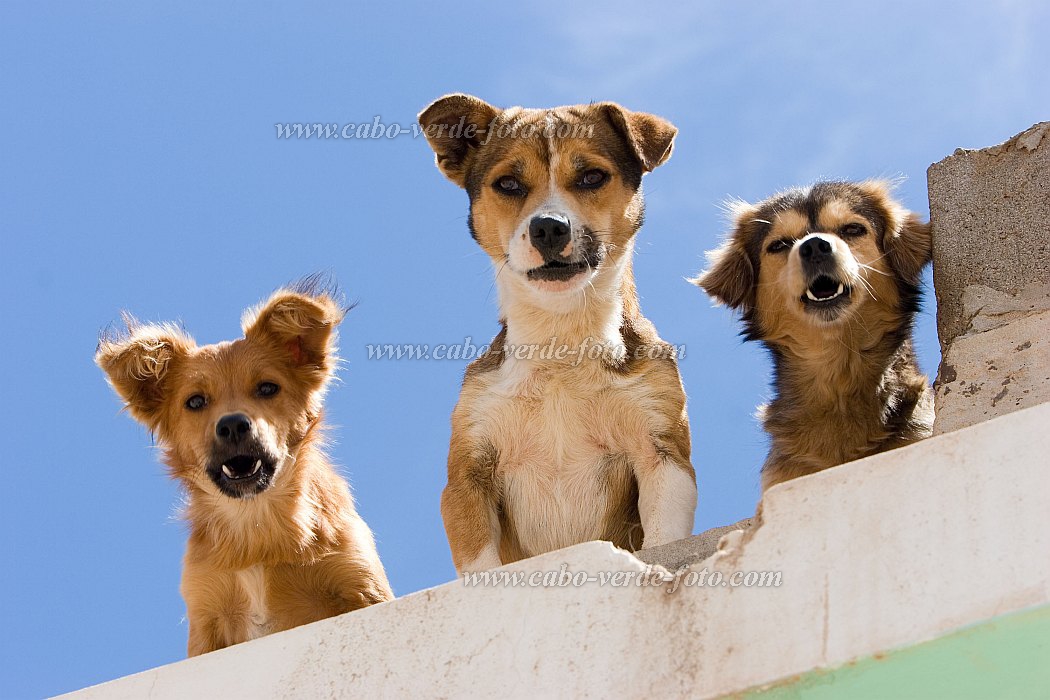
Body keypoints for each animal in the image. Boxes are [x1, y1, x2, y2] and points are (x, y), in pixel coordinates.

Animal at [96, 281, 392, 659]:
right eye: (195, 401)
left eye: (267, 388)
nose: (233, 425)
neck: (255, 529)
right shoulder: (205, 618)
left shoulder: (360, 586)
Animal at [417, 92, 697, 575]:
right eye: (509, 184)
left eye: (591, 176)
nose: (548, 227)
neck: (559, 341)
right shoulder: (468, 477)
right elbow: (481, 564)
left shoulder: (663, 455)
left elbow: (663, 539)